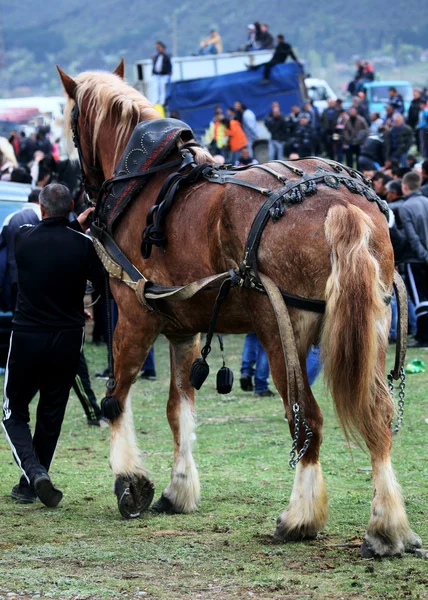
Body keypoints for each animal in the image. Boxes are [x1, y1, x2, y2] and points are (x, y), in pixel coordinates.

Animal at [57, 61, 422, 556]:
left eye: (72, 126)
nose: (84, 194)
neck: (144, 184)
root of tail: (341, 204)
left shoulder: (134, 315)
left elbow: (117, 396)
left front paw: (131, 481)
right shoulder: (182, 328)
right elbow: (178, 408)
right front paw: (179, 488)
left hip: (279, 333)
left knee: (307, 419)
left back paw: (300, 516)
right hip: (373, 327)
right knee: (379, 414)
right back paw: (388, 526)